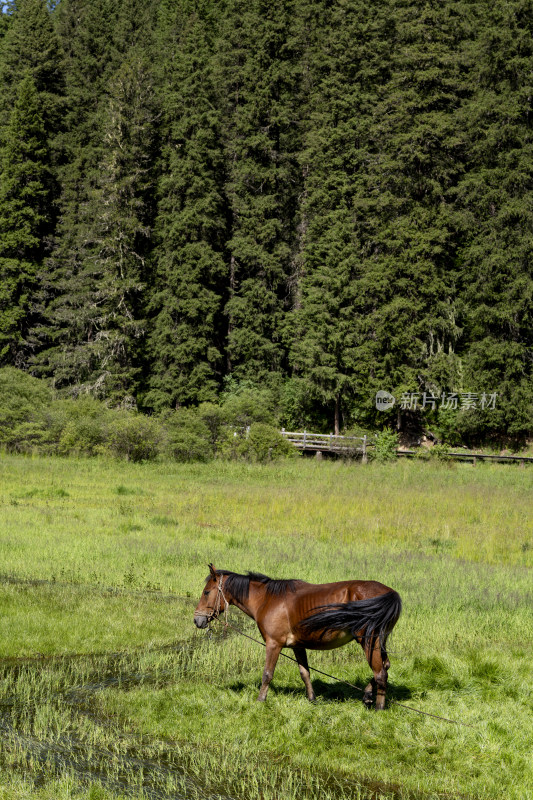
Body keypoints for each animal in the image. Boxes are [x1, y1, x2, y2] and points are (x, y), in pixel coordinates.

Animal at [193, 564, 402, 708]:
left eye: (206, 592)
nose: (197, 620)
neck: (267, 599)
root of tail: (390, 593)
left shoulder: (274, 644)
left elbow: (267, 674)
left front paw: (260, 700)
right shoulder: (297, 645)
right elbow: (305, 673)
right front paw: (312, 699)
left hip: (369, 642)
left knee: (380, 673)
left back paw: (379, 707)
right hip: (380, 641)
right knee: (385, 666)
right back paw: (367, 695)